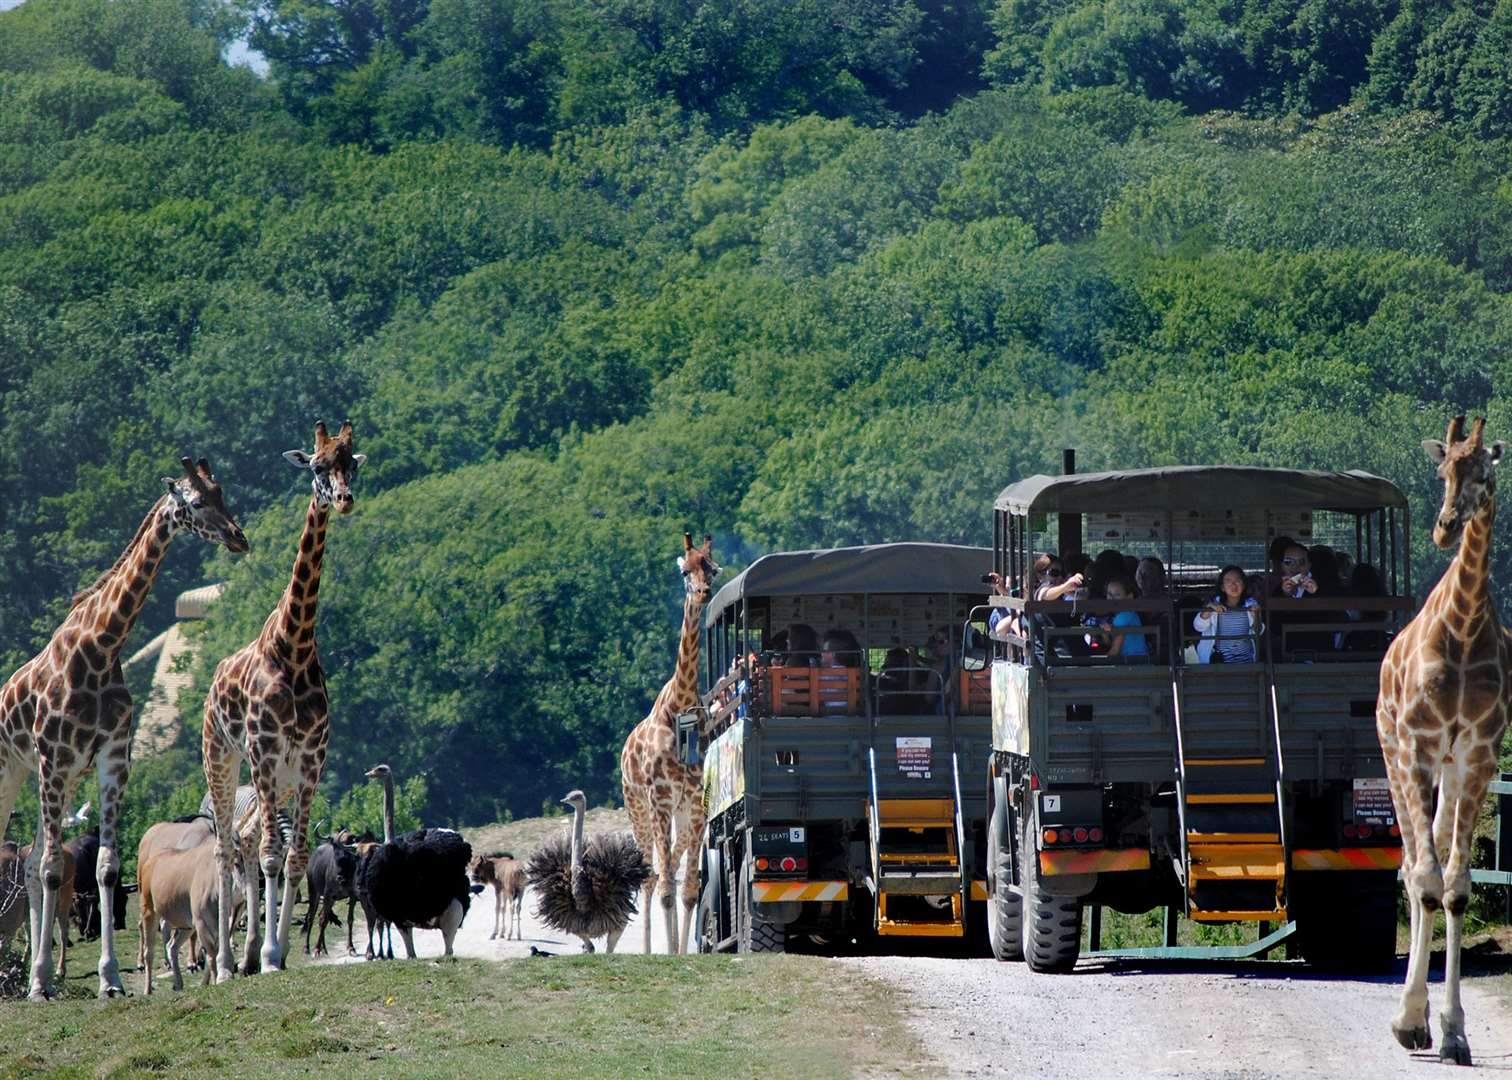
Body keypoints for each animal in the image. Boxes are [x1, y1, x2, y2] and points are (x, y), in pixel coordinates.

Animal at [0, 459, 246, 998]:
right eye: (196, 502)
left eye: (223, 492)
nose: (238, 538)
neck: (100, 648)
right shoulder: (54, 759)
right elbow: (54, 870)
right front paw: (43, 985)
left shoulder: (110, 759)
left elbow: (106, 868)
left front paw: (108, 979)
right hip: (15, 770)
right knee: (31, 861)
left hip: (58, 779)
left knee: (28, 863)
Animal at [201, 417, 365, 974]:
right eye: (316, 466)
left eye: (352, 462)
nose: (343, 499)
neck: (293, 647)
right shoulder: (265, 752)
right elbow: (272, 853)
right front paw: (271, 954)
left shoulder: (311, 759)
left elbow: (293, 858)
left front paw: (278, 949)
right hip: (224, 761)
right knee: (228, 847)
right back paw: (227, 963)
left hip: (283, 778)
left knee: (250, 839)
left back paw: (250, 950)